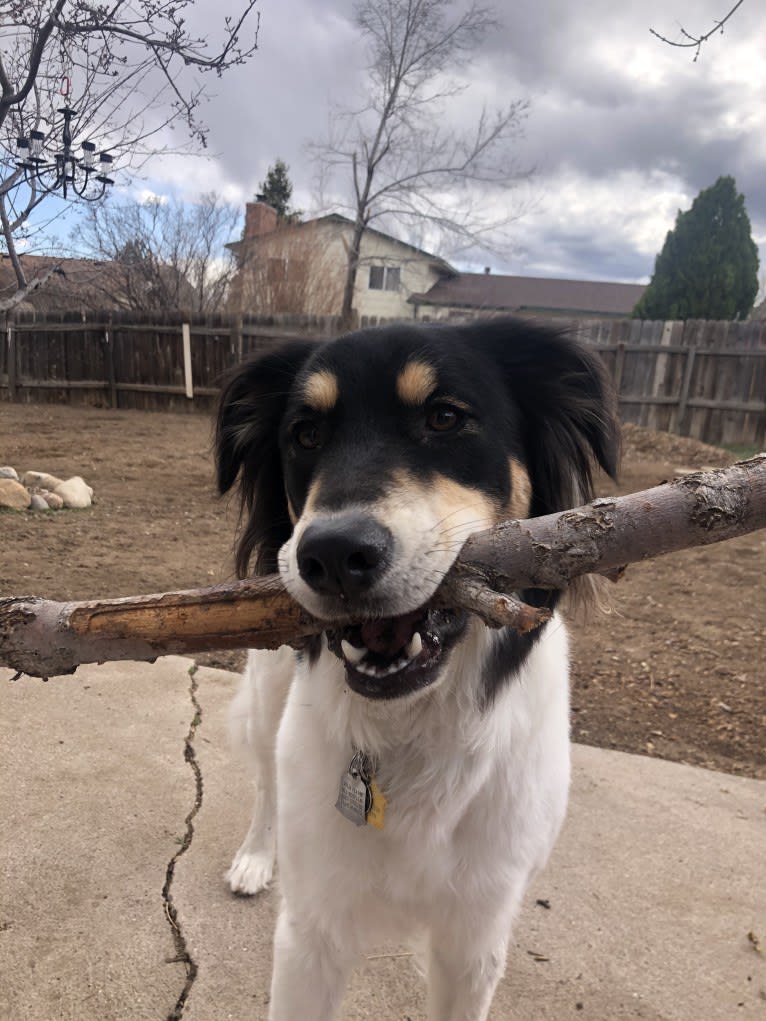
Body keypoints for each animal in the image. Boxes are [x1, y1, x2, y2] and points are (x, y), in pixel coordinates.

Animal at [214, 318, 616, 1021]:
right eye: (305, 434)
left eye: (445, 417)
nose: (332, 556)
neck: (411, 723)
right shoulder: (311, 933)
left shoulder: (475, 940)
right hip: (267, 698)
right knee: (266, 782)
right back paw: (256, 857)